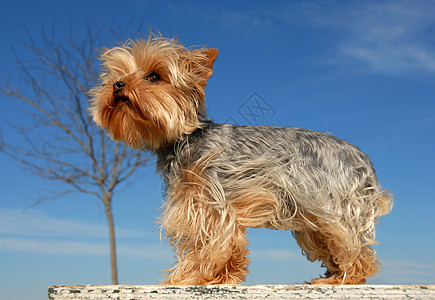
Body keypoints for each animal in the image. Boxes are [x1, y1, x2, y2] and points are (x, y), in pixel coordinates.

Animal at [90, 34, 394, 284]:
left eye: (154, 77)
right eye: (118, 74)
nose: (117, 85)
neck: (183, 138)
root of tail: (365, 160)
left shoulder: (214, 204)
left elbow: (213, 246)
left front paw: (192, 277)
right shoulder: (194, 203)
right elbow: (208, 245)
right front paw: (215, 277)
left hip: (332, 205)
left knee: (353, 246)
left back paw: (344, 278)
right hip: (311, 216)